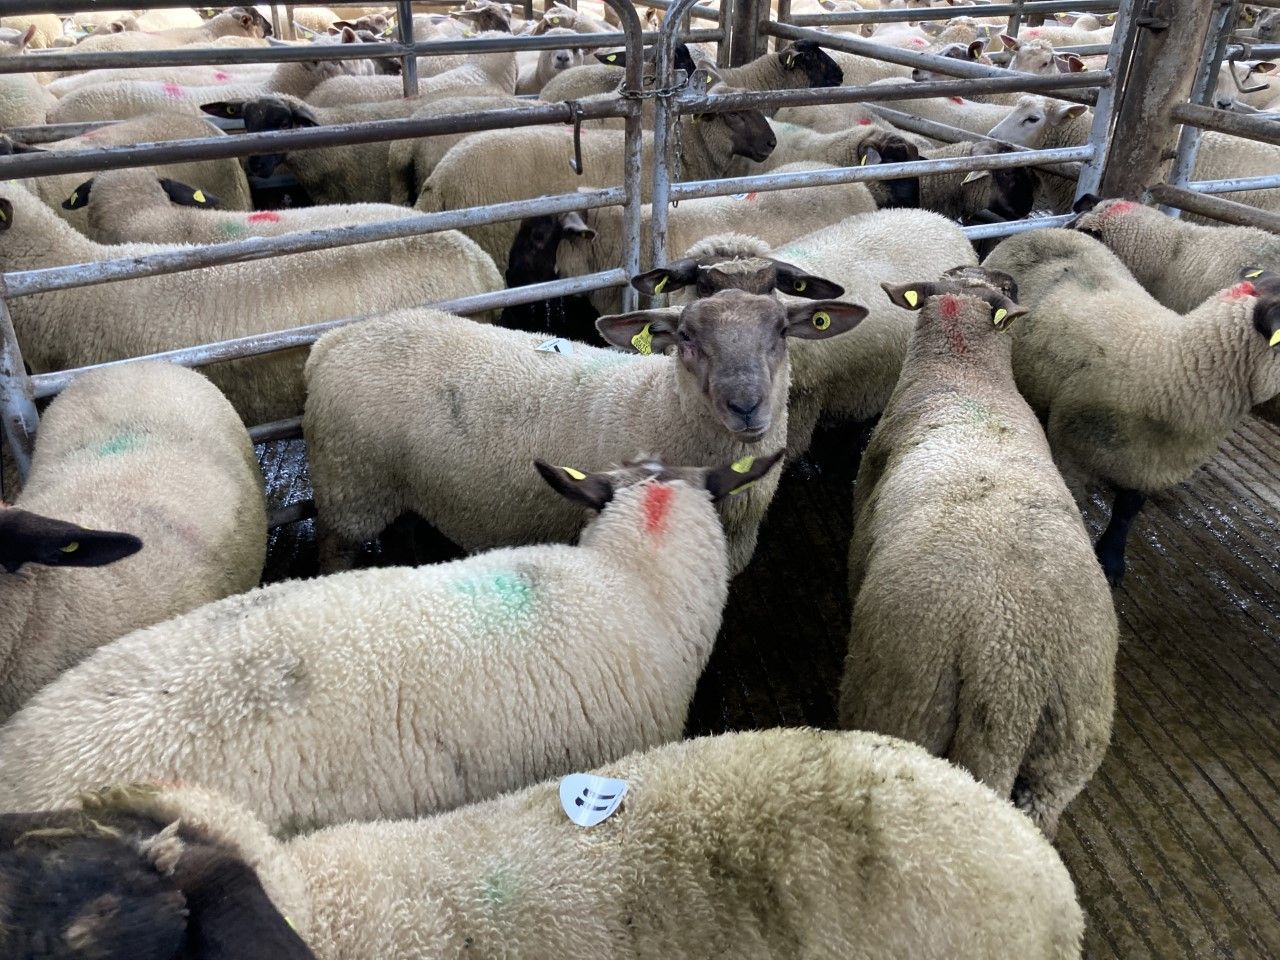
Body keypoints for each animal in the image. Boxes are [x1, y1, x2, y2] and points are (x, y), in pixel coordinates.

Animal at [303, 292, 864, 574]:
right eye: (685, 337)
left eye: (782, 331)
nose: (745, 406)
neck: (659, 404)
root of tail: (335, 340)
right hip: (351, 487)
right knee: (335, 548)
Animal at [982, 228, 1280, 585]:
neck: (1172, 362)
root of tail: (1044, 229)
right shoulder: (1073, 453)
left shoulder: (1146, 465)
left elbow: (1126, 513)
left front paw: (1111, 559)